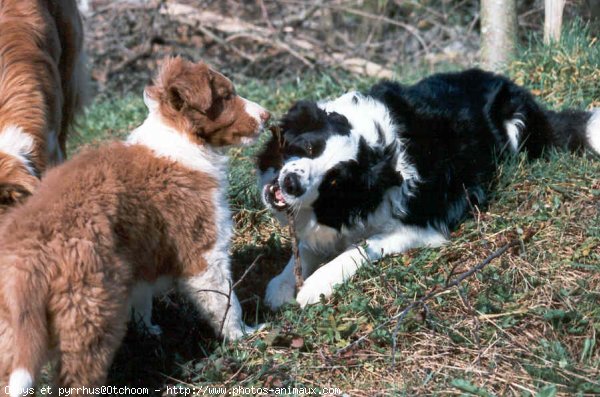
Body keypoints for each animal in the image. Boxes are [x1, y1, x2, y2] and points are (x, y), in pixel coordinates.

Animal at [0, 57, 270, 394]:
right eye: (225, 96)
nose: (267, 116)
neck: (179, 139)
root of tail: (29, 259)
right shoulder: (203, 250)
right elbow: (226, 301)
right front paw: (244, 334)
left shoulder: (141, 249)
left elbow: (143, 298)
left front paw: (148, 330)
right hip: (90, 315)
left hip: (12, 333)